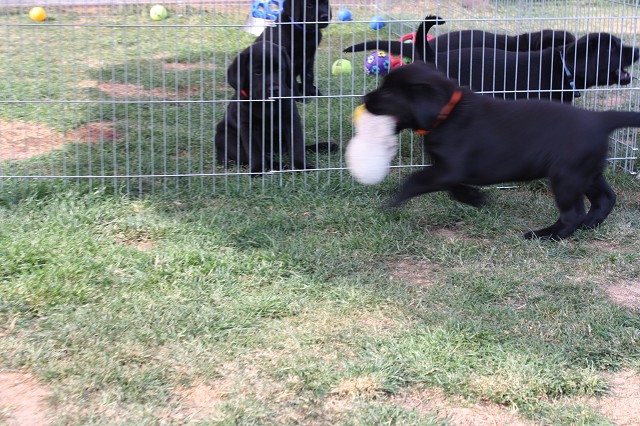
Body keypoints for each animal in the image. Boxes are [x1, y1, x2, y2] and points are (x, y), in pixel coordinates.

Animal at [215, 42, 309, 172]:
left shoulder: (291, 119)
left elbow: (297, 146)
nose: (274, 89)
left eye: (280, 69)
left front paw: (302, 167)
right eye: (258, 72)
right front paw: (257, 170)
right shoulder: (248, 126)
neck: (268, 105)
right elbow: (255, 152)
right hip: (226, 137)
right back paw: (279, 165)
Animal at [362, 61, 640, 240]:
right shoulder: (446, 169)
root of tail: (600, 119)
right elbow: (453, 187)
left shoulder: (450, 167)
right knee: (605, 197)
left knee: (573, 214)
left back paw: (546, 235)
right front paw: (475, 198)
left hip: (566, 176)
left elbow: (417, 178)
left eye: (388, 93)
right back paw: (590, 224)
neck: (448, 112)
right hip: (586, 171)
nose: (364, 99)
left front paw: (393, 201)